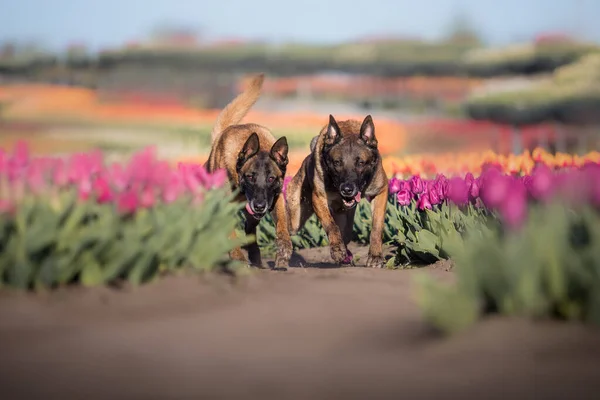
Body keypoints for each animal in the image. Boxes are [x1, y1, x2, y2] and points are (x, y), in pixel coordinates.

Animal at [205, 73, 292, 270]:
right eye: (250, 176)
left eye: (271, 178)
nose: (259, 206)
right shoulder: (226, 206)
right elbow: (230, 235)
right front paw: (238, 258)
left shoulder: (275, 200)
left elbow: (282, 226)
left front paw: (283, 252)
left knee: (249, 229)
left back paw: (256, 257)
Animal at [286, 114, 390, 268]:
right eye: (337, 163)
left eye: (361, 163)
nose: (347, 189)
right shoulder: (319, 198)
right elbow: (331, 225)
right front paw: (337, 250)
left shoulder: (380, 192)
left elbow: (376, 226)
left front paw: (375, 256)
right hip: (295, 219)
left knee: (346, 235)